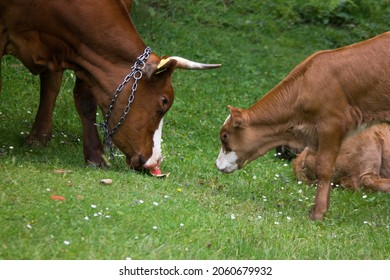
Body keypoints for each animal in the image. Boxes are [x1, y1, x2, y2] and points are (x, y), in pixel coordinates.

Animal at [0, 0, 219, 171]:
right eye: (164, 101)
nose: (156, 160)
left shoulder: (86, 58)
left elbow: (85, 101)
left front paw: (96, 157)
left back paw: (39, 137)